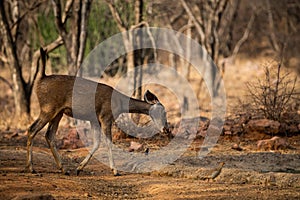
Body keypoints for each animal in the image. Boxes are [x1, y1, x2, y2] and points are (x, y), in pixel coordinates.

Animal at [25, 47, 169, 176]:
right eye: (163, 112)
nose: (166, 129)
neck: (120, 104)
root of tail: (41, 79)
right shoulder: (106, 116)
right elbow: (108, 143)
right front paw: (115, 171)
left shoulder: (94, 119)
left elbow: (96, 143)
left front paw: (79, 168)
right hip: (48, 108)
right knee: (32, 129)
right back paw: (32, 168)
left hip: (58, 112)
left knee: (49, 135)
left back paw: (63, 169)